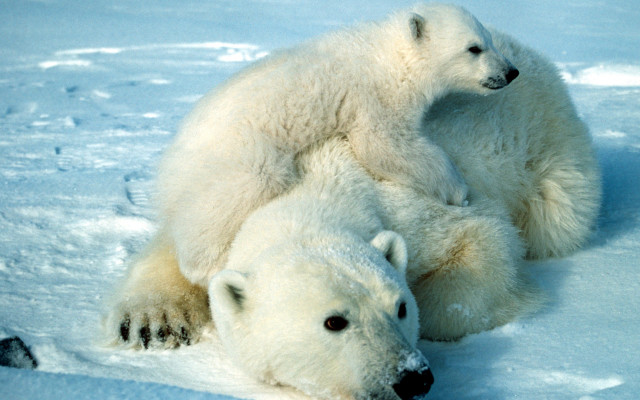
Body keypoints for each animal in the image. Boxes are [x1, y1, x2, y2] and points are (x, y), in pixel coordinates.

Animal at [155, 3, 520, 287]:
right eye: (474, 48)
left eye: (489, 39)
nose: (511, 72)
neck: (390, 56)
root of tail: (170, 163)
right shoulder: (376, 96)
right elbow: (384, 145)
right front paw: (458, 190)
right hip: (239, 152)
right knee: (237, 192)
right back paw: (207, 266)